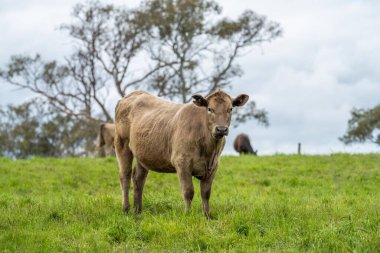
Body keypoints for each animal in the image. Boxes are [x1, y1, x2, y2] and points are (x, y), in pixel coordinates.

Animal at [113, 89, 249, 217]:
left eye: (230, 109)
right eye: (210, 109)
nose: (221, 129)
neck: (209, 151)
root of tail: (134, 94)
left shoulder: (214, 166)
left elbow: (206, 193)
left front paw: (207, 215)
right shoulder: (182, 162)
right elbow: (188, 191)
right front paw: (187, 214)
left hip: (143, 154)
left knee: (138, 179)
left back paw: (138, 210)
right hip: (122, 144)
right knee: (125, 176)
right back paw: (126, 209)